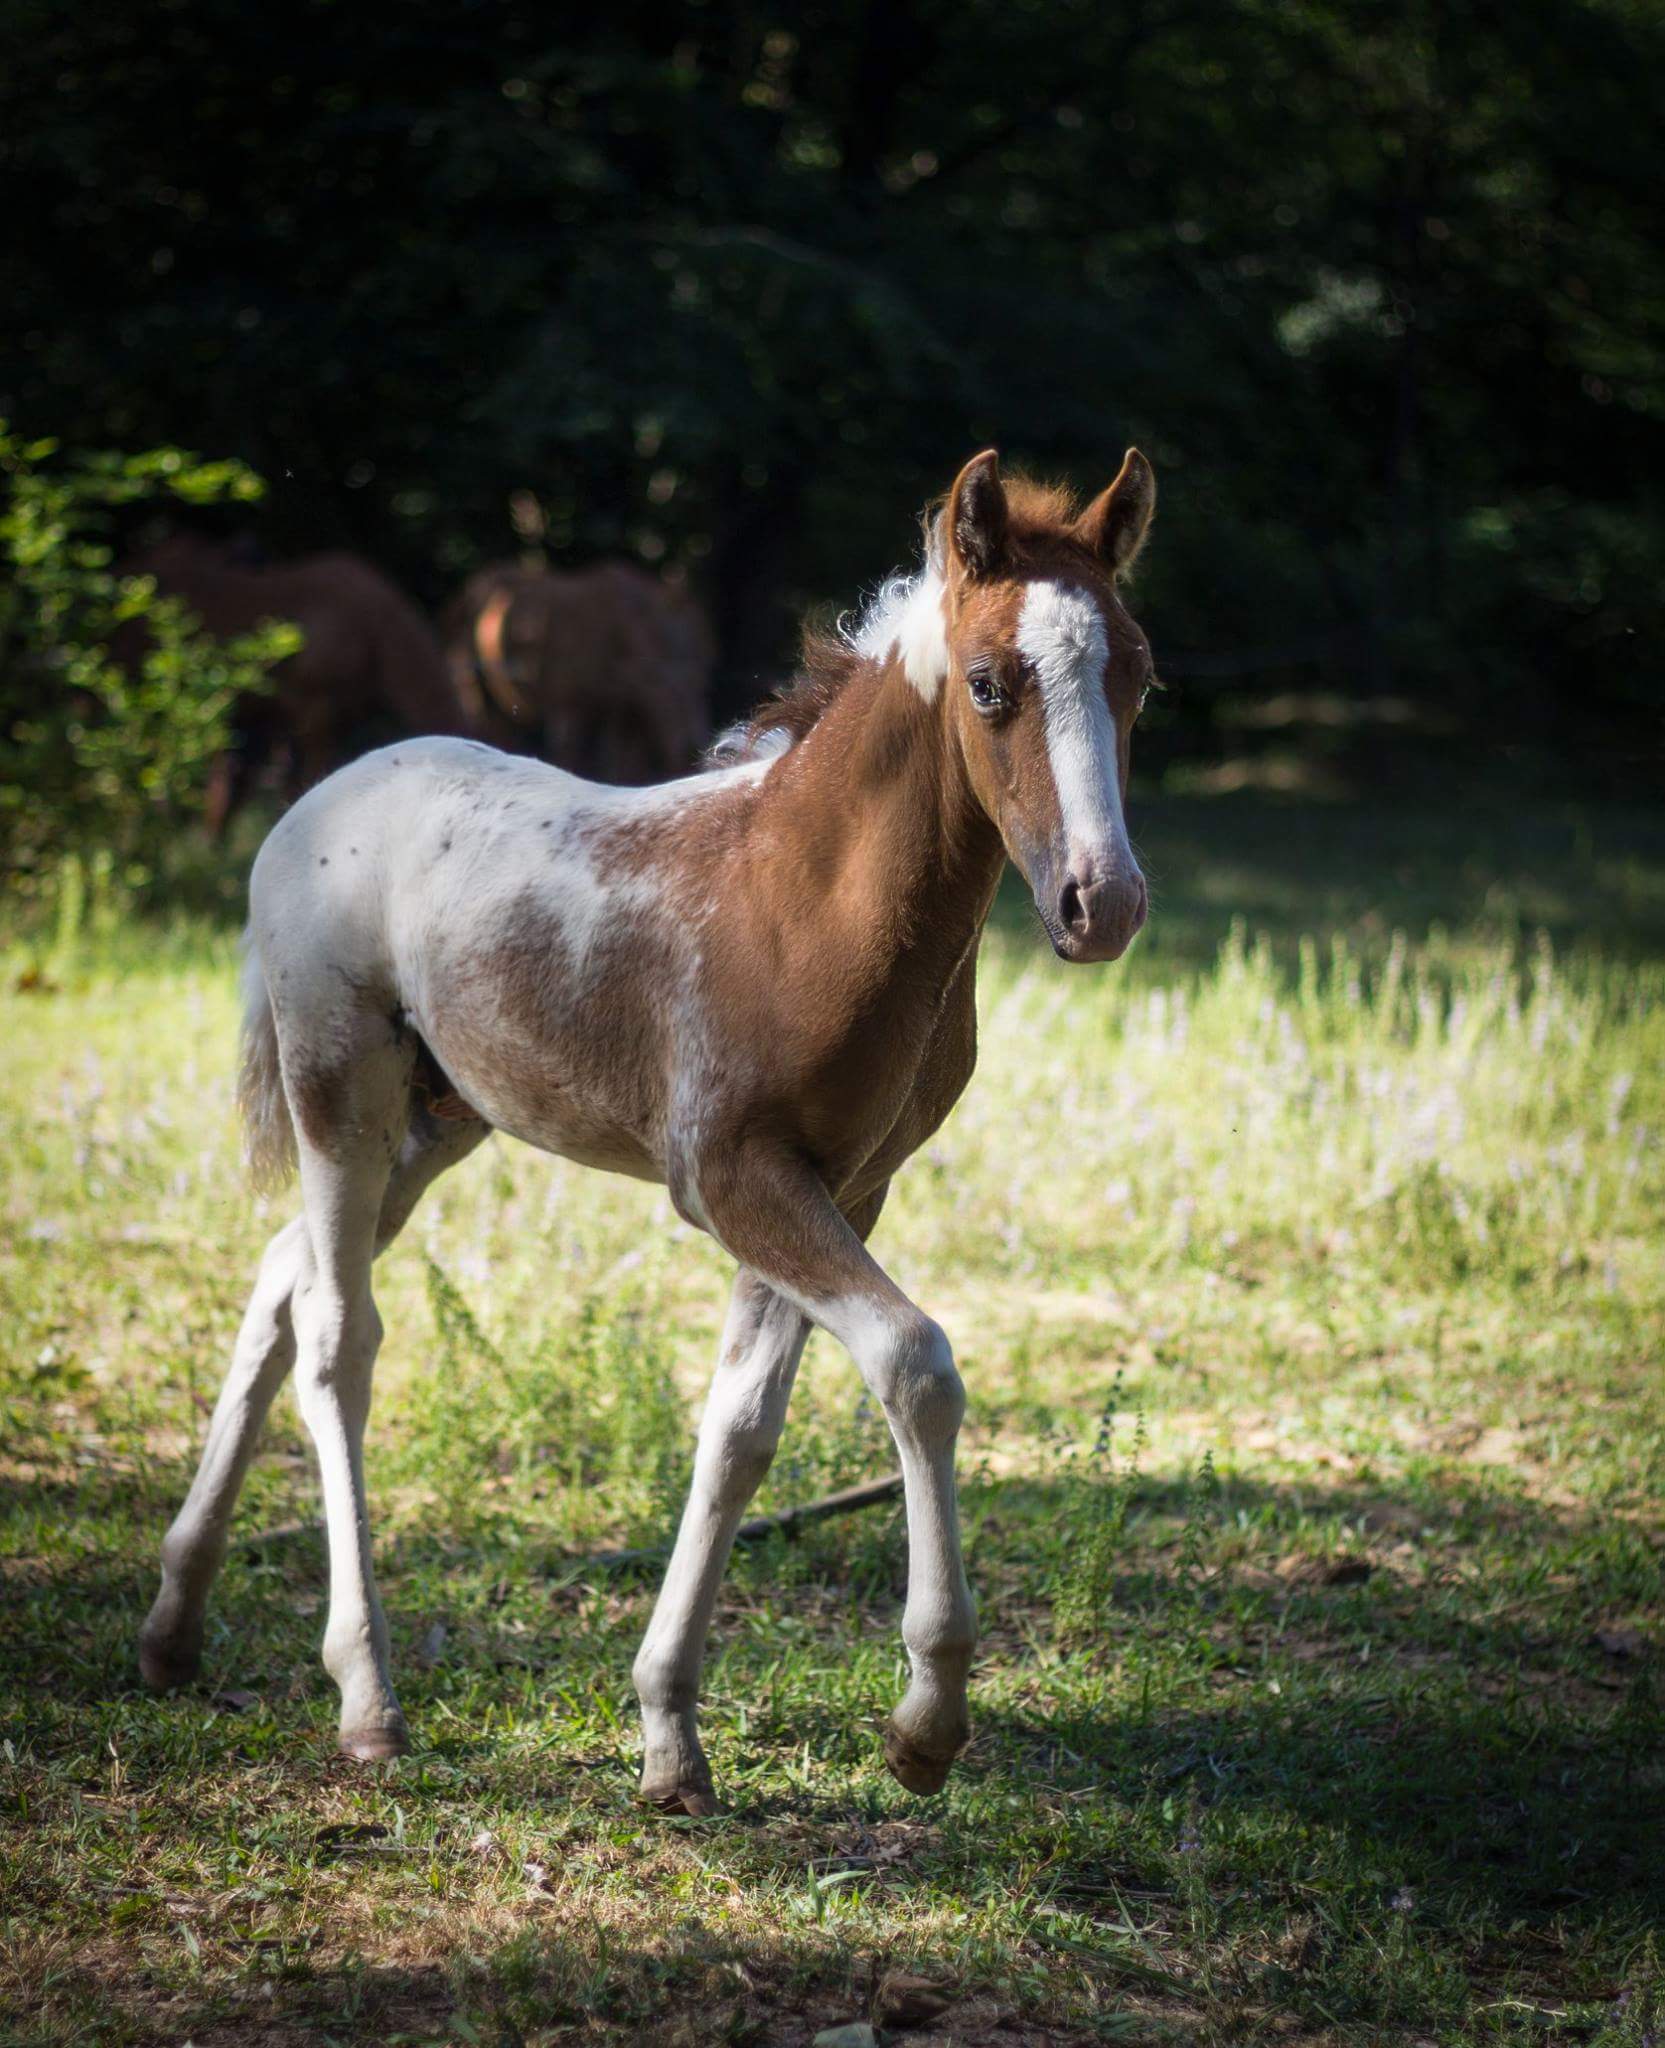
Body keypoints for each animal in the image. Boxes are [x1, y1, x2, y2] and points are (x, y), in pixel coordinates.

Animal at [442, 559, 713, 784]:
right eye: (665, 691)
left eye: (701, 688)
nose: (695, 754)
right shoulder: (570, 699)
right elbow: (570, 750)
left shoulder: (624, 702)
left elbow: (622, 759)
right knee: (479, 708)